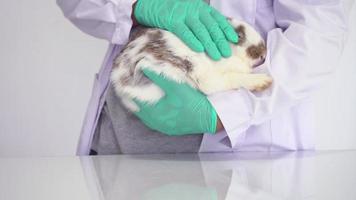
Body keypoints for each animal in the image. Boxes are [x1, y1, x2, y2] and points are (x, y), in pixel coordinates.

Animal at [111, 18, 272, 111]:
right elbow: (234, 78)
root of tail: (118, 85)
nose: (263, 53)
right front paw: (265, 81)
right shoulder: (207, 77)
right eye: (238, 36)